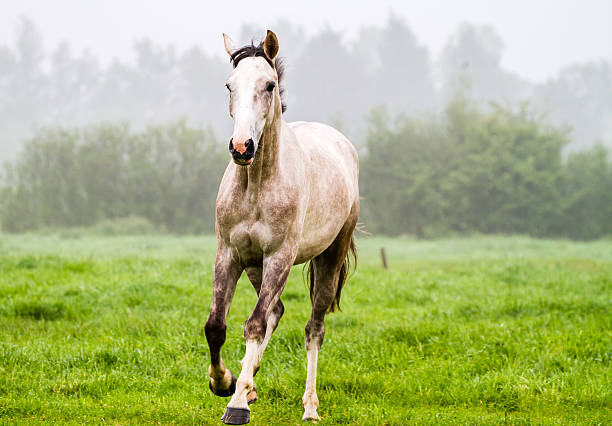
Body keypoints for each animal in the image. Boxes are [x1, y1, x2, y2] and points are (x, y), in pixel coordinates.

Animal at [206, 29, 358, 422]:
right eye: (229, 84)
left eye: (270, 84)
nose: (242, 147)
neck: (256, 185)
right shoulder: (229, 254)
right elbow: (216, 326)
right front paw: (225, 382)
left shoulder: (279, 257)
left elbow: (254, 324)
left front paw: (236, 404)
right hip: (254, 265)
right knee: (276, 311)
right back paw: (249, 382)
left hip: (329, 256)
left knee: (313, 328)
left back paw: (309, 406)